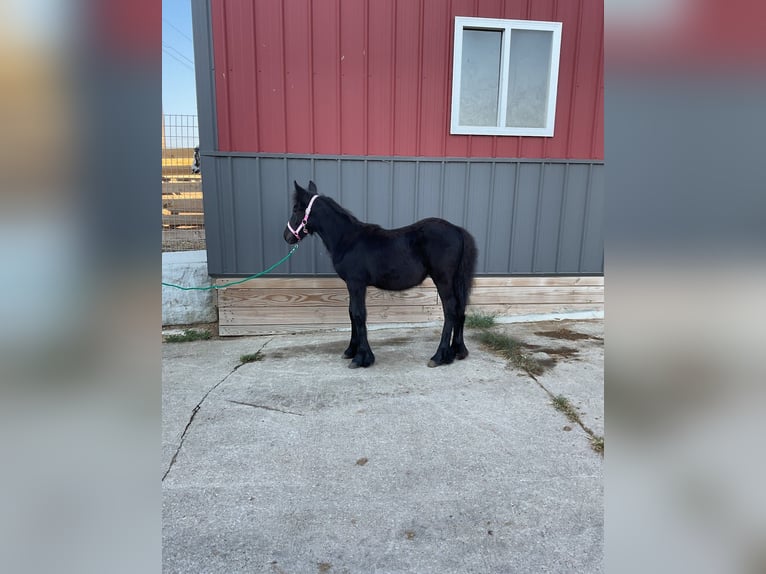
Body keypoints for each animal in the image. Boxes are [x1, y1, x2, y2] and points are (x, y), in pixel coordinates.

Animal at [283, 180, 478, 369]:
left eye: (296, 209)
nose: (287, 237)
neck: (347, 239)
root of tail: (457, 230)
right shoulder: (352, 285)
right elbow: (351, 312)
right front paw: (351, 350)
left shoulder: (356, 283)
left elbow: (358, 314)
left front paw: (361, 358)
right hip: (455, 280)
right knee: (460, 309)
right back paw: (457, 351)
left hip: (443, 280)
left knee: (450, 310)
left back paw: (439, 356)